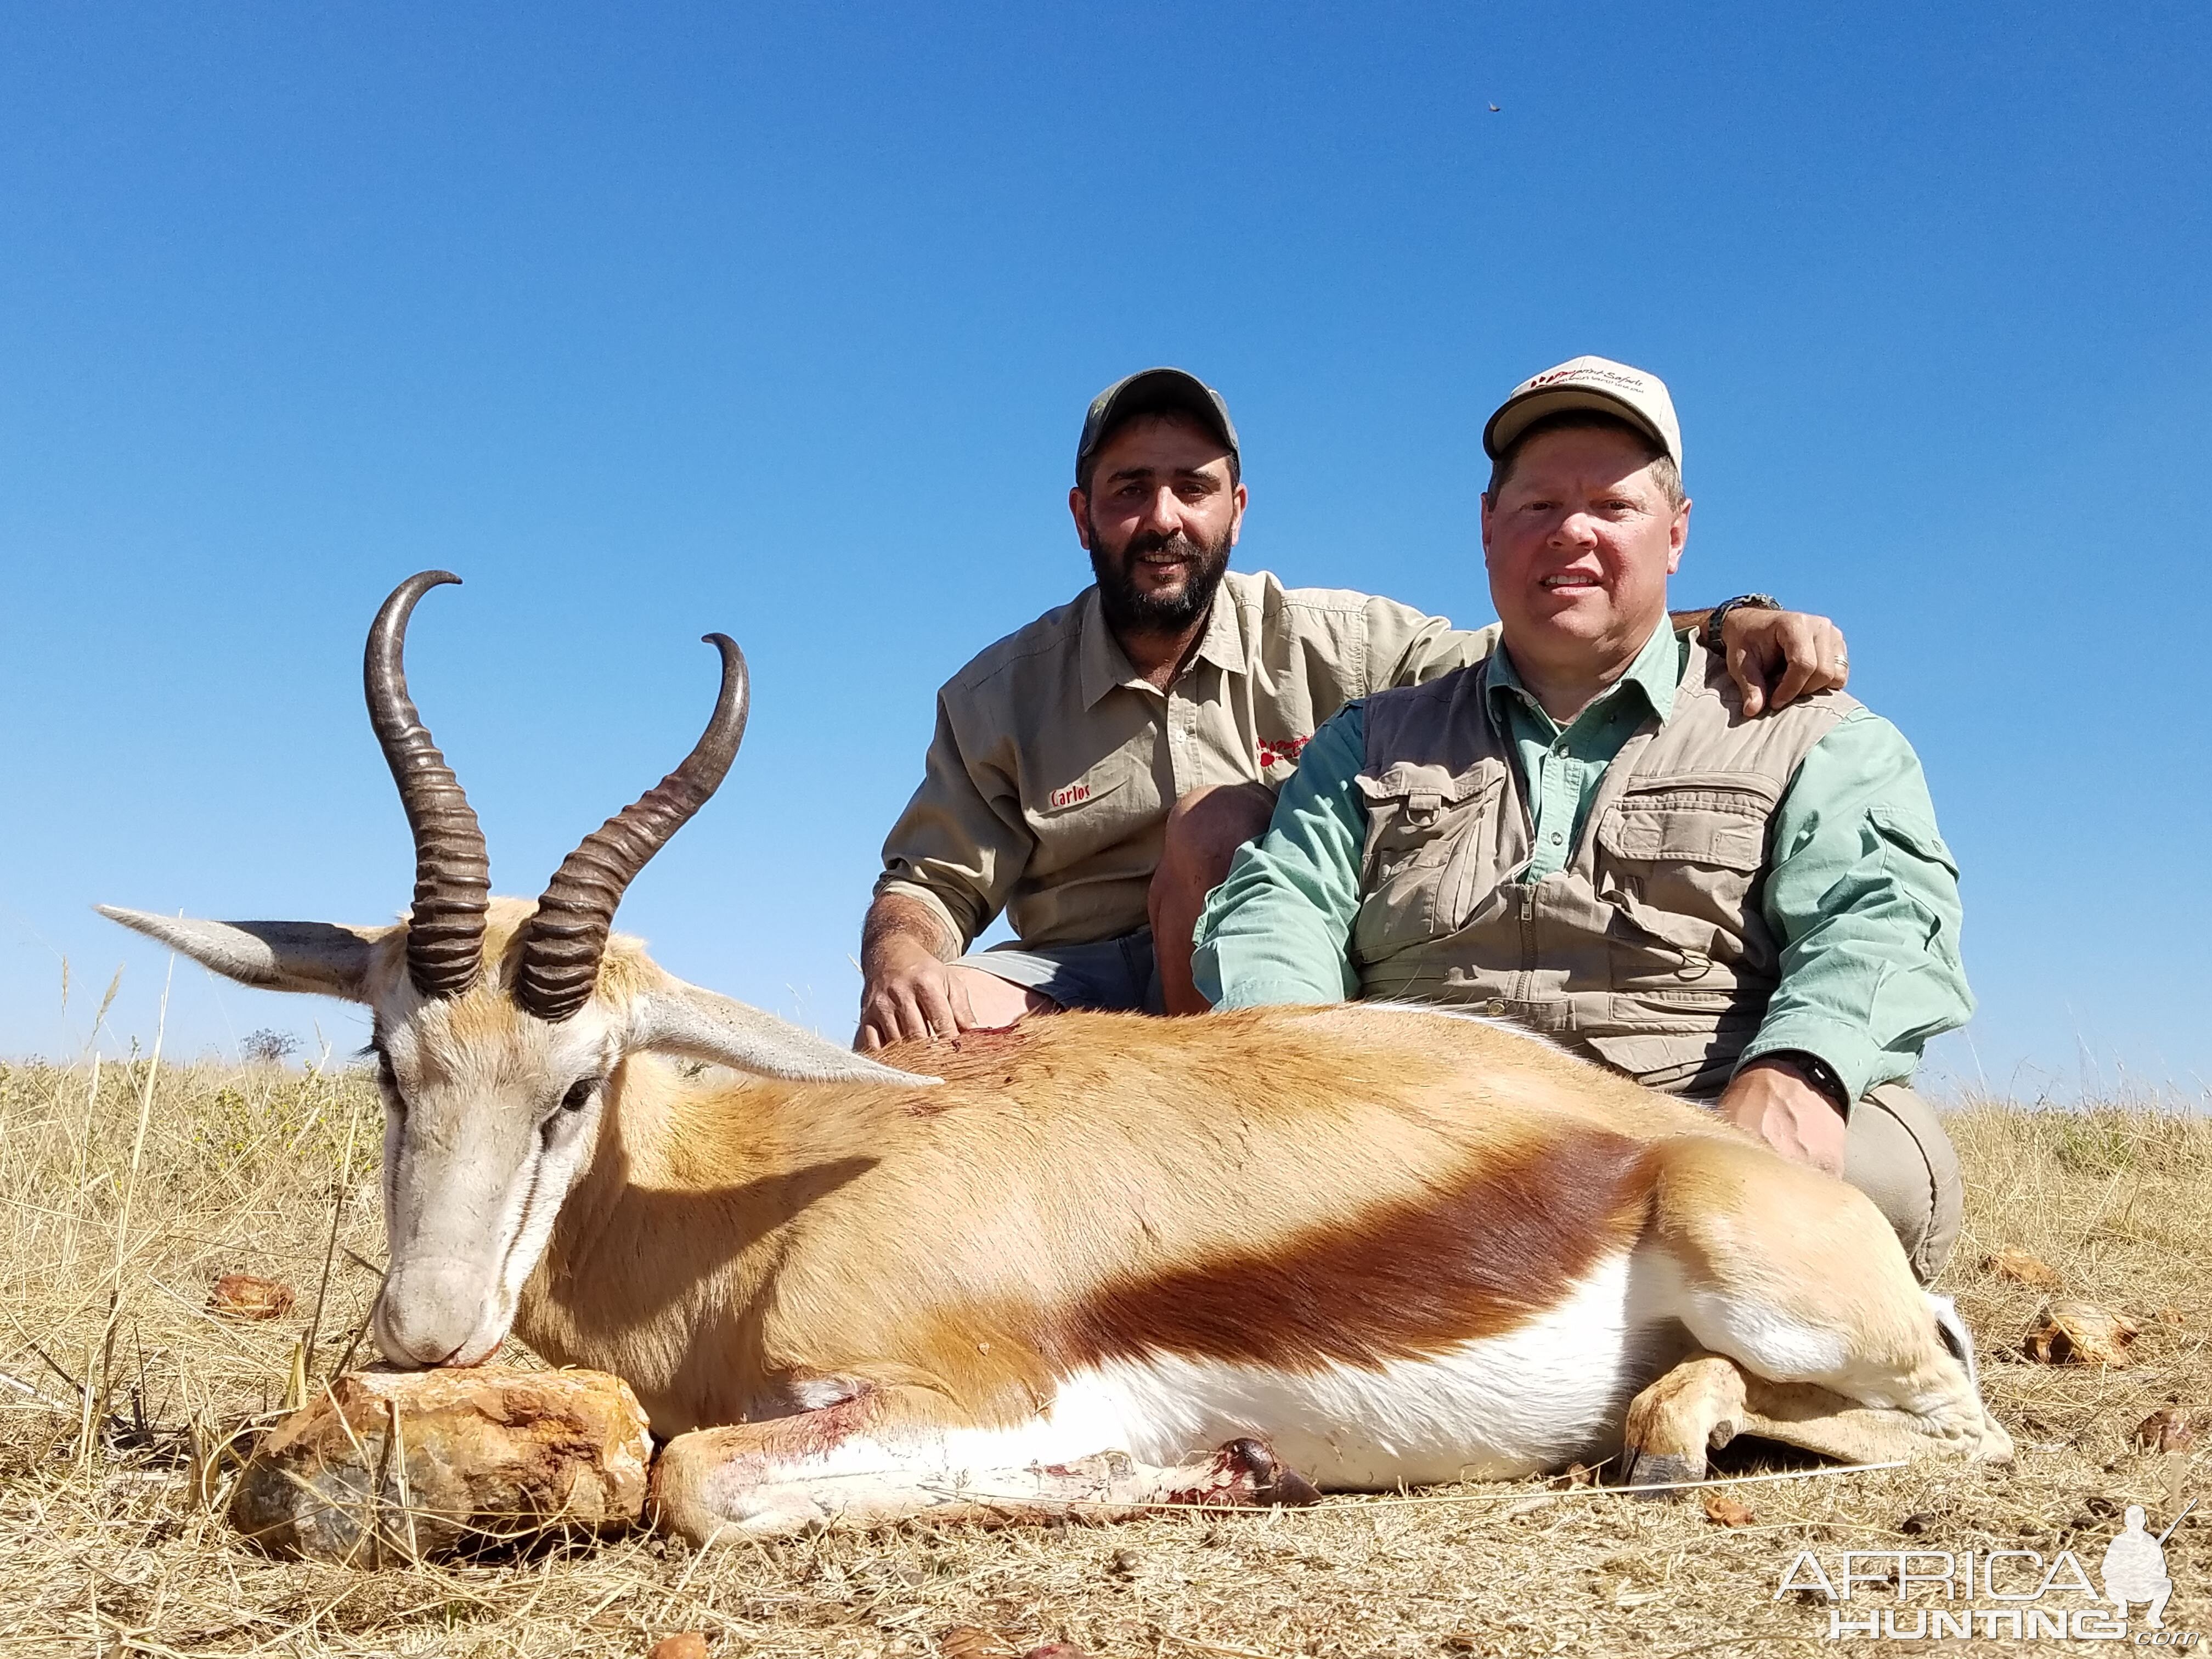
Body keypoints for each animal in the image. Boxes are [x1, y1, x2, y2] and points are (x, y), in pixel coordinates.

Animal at [99, 579, 2008, 1548]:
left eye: (575, 1084)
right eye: (388, 1064)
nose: (424, 1335)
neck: (742, 1207)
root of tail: (1672, 1148)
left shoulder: (963, 1390)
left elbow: (695, 1480)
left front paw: (1188, 1468)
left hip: (1788, 1297)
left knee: (1948, 1427)